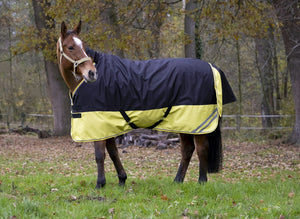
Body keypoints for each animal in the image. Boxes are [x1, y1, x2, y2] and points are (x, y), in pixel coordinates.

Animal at [55, 20, 234, 188]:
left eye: (84, 46)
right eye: (71, 47)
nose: (92, 73)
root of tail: (212, 68)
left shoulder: (98, 125)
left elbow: (100, 155)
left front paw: (100, 184)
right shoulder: (107, 125)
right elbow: (113, 152)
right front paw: (122, 179)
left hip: (196, 123)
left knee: (202, 149)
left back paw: (201, 181)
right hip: (184, 123)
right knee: (187, 150)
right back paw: (177, 181)